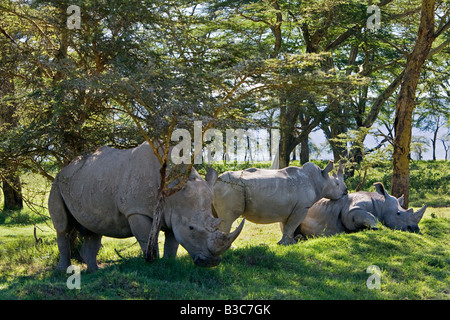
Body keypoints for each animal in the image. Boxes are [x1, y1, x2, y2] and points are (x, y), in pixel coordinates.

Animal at [48, 141, 244, 272]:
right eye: (192, 228)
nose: (212, 262)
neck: (173, 194)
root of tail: (67, 167)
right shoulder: (137, 211)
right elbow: (146, 238)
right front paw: (152, 263)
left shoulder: (174, 214)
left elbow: (172, 243)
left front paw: (169, 263)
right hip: (58, 183)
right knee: (63, 228)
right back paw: (62, 271)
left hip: (85, 182)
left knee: (93, 230)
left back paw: (94, 273)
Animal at [214, 162, 348, 245]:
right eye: (337, 184)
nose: (346, 191)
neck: (320, 179)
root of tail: (217, 180)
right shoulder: (302, 207)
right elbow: (292, 225)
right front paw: (286, 244)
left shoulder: (289, 208)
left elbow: (286, 227)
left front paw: (289, 243)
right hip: (230, 188)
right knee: (227, 219)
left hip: (224, 187)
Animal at [298, 181, 428, 239]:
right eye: (398, 213)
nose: (414, 229)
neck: (381, 204)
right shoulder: (350, 210)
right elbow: (368, 216)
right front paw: (376, 227)